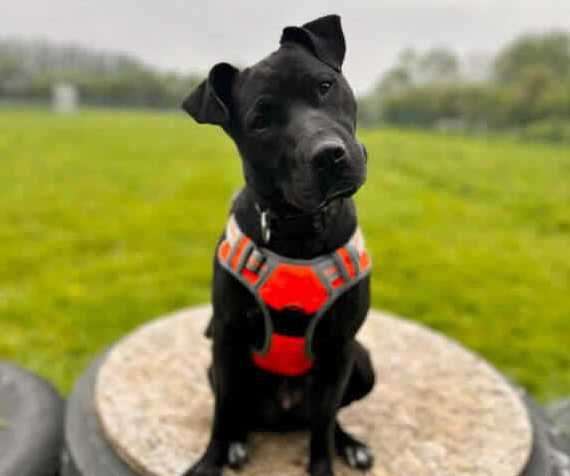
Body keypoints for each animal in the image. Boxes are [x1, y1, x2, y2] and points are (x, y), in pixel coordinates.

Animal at [179, 13, 372, 476]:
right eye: (260, 121)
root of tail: (285, 414)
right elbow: (221, 414)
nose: (329, 156)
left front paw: (325, 466)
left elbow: (323, 425)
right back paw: (237, 442)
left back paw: (350, 443)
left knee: (327, 417)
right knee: (236, 410)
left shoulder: (340, 347)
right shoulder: (226, 337)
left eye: (325, 85)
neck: (298, 230)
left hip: (362, 362)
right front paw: (210, 461)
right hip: (220, 367)